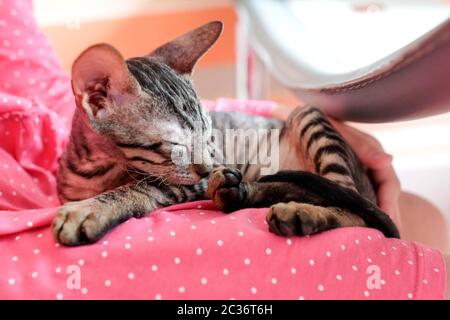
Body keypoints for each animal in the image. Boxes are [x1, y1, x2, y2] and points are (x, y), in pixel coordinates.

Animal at [53, 21, 398, 246]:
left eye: (208, 136)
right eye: (176, 144)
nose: (209, 168)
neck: (96, 172)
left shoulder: (189, 183)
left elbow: (145, 188)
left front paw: (91, 210)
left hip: (307, 115)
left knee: (357, 214)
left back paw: (300, 213)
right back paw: (238, 192)